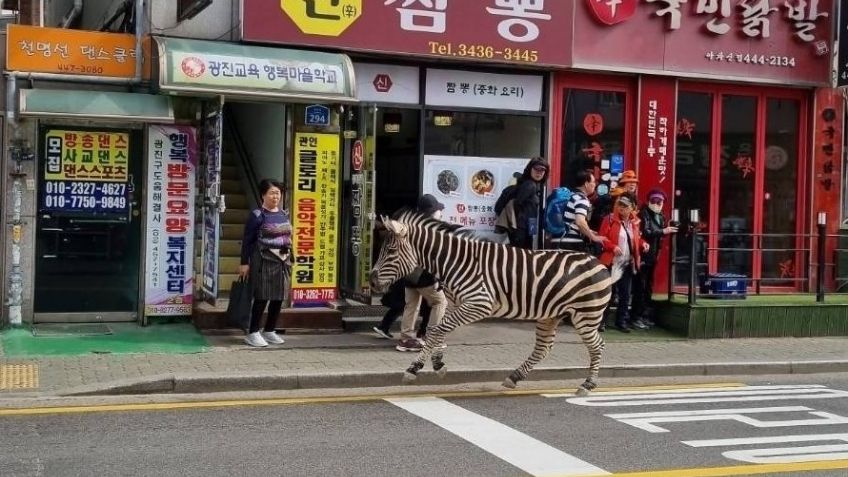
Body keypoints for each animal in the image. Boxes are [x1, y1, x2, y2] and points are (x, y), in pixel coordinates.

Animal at [369, 210, 623, 396]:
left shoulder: (479, 303)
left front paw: (415, 368)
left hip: (586, 315)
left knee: (597, 346)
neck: (455, 262)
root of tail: (598, 263)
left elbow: (437, 330)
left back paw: (587, 384)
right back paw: (514, 377)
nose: (371, 281)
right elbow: (439, 330)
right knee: (544, 347)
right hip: (550, 315)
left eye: (390, 251)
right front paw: (438, 363)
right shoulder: (456, 304)